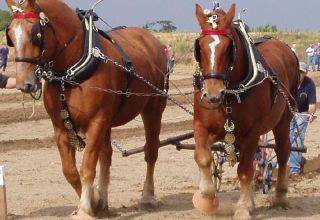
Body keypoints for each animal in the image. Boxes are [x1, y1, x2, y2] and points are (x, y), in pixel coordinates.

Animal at [5, 0, 168, 218]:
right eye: (10, 35)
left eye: (36, 34)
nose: (24, 84)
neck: (70, 71)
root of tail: (152, 40)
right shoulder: (60, 126)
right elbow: (70, 171)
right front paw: (95, 200)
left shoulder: (96, 122)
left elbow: (87, 167)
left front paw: (84, 209)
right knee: (106, 155)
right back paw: (104, 202)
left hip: (153, 108)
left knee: (151, 151)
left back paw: (147, 197)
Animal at [192, 3, 300, 218]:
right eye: (199, 46)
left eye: (229, 47)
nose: (213, 93)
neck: (229, 96)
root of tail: (287, 49)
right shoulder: (202, 126)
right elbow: (203, 157)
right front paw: (207, 197)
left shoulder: (252, 133)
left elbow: (244, 171)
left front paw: (241, 209)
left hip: (283, 120)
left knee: (282, 151)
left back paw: (280, 196)